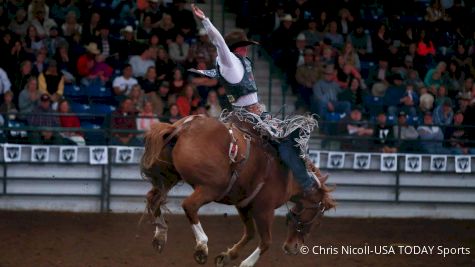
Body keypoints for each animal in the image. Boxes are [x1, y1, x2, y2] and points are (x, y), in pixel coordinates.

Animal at [141, 115, 334, 267]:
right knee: (189, 205)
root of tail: (183, 127)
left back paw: (160, 236)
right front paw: (246, 263)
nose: (293, 248)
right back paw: (202, 246)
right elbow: (266, 241)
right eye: (318, 218)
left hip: (169, 176)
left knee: (153, 198)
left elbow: (249, 233)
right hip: (211, 187)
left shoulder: (243, 205)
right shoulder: (264, 210)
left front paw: (227, 256)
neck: (290, 177)